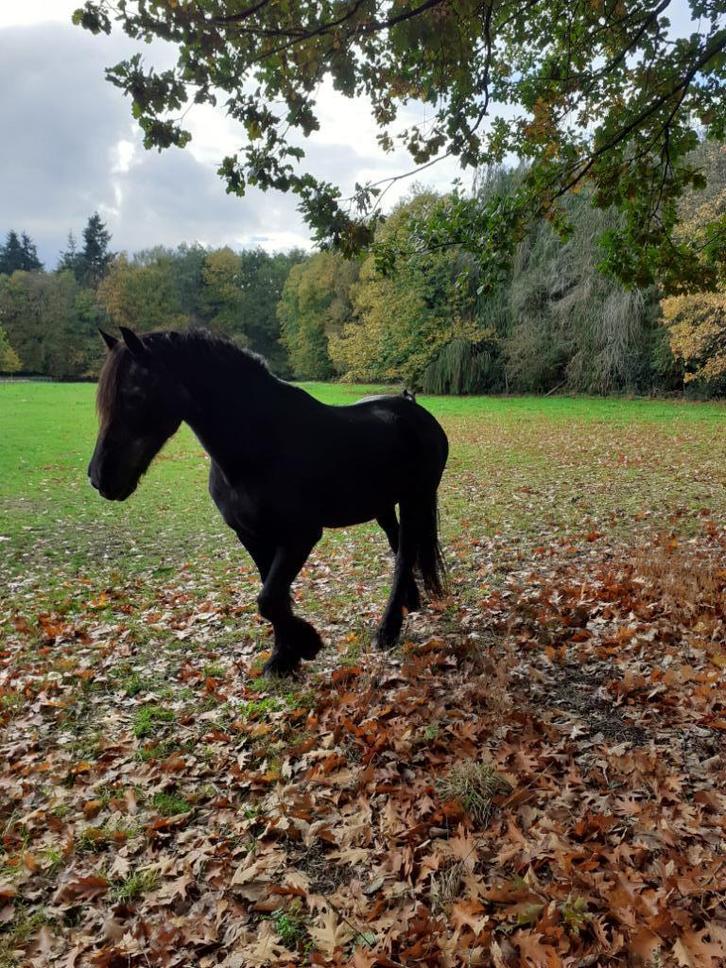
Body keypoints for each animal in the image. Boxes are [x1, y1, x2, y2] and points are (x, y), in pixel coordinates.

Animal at [88, 327, 449, 676]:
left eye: (135, 395)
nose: (99, 478)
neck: (261, 444)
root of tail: (415, 409)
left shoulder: (300, 537)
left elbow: (269, 599)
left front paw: (307, 643)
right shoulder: (252, 536)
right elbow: (274, 596)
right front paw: (284, 657)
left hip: (416, 499)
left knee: (405, 554)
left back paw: (388, 629)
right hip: (383, 506)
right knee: (398, 545)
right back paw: (409, 603)